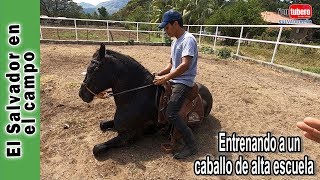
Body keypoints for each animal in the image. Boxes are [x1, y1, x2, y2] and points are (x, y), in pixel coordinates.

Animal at [79, 43, 212, 158]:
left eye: (93, 69)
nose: (81, 94)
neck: (135, 96)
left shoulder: (128, 135)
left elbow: (96, 148)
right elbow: (102, 124)